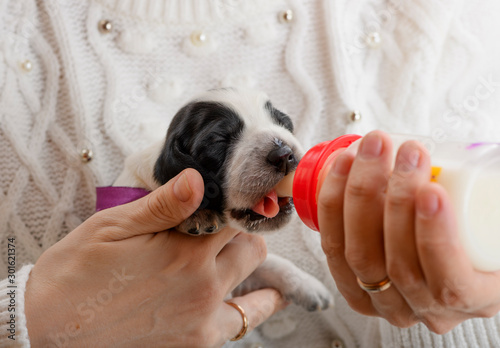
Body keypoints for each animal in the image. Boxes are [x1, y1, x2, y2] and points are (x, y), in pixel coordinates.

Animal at [113, 88, 332, 312]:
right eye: (219, 141)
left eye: (285, 123)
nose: (284, 154)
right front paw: (198, 214)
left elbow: (270, 263)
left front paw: (308, 285)